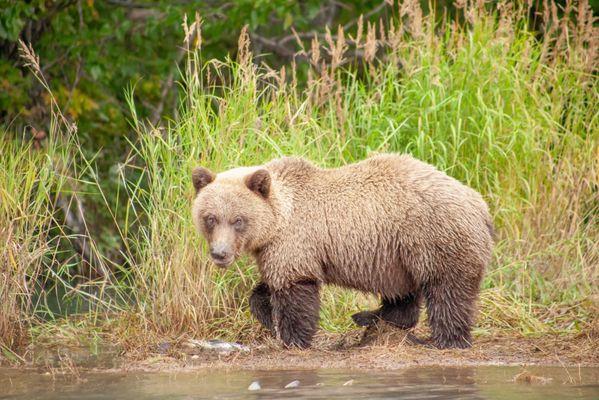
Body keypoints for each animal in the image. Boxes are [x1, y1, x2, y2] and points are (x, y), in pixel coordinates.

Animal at [191, 155, 492, 348]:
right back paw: (371, 318)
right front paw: (268, 315)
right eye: (210, 218)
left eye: (238, 220)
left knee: (447, 289)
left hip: (433, 236)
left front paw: (292, 337)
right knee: (402, 292)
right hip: (397, 255)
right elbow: (269, 285)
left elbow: (294, 287)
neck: (278, 219)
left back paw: (446, 340)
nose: (220, 254)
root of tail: (480, 204)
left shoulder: (295, 239)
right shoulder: (276, 248)